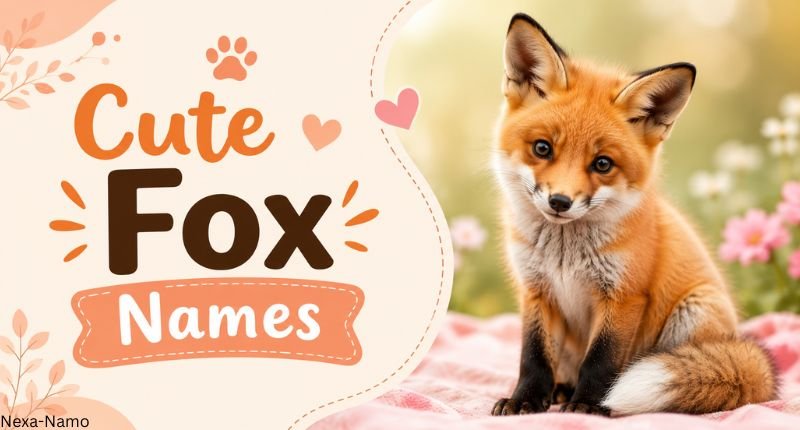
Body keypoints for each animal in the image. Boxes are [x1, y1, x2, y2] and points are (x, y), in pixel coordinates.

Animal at [491, 13, 778, 416]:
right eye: (542, 148)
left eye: (602, 164)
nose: (560, 202)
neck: (564, 255)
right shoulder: (535, 291)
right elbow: (533, 356)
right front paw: (526, 400)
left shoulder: (624, 296)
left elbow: (602, 360)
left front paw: (588, 406)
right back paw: (561, 390)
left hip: (693, 313)